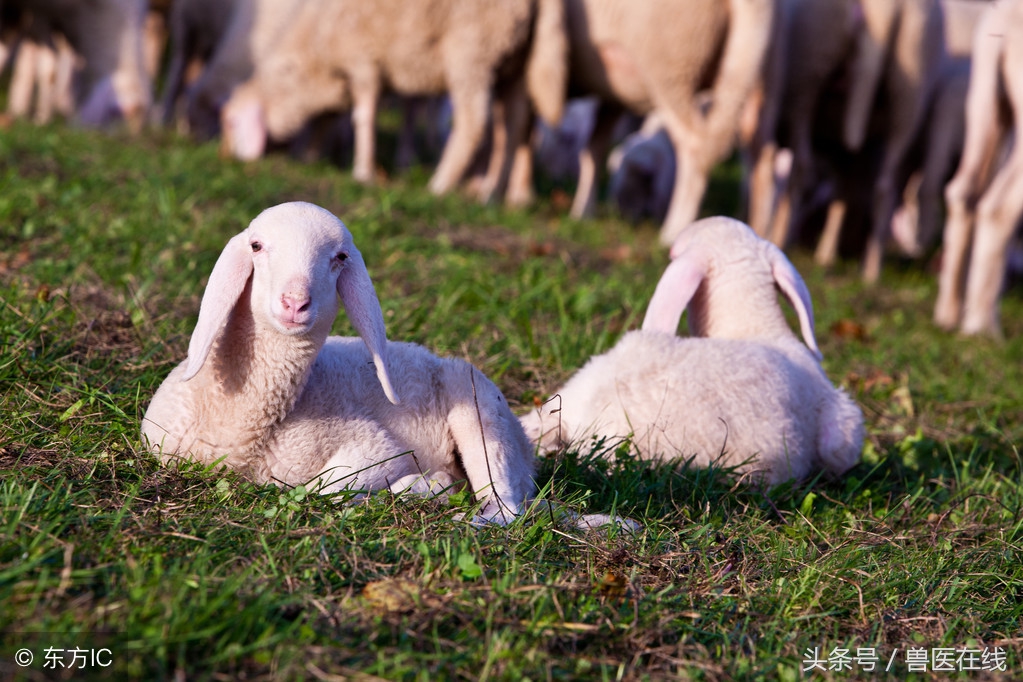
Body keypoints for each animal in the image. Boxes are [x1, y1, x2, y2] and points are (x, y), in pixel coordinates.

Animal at [143, 201, 536, 523]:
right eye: (256, 246)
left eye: (341, 257)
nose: (295, 302)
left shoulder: (376, 446)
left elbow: (326, 488)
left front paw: (411, 486)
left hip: (481, 413)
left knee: (506, 507)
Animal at [219, 0, 568, 200]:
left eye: (232, 122)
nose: (224, 159)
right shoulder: (341, 76)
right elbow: (328, 118)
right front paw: (311, 155)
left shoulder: (363, 61)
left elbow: (363, 116)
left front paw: (363, 172)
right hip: (516, 61)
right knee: (515, 125)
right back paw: (492, 192)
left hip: (473, 51)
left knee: (474, 123)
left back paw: (441, 185)